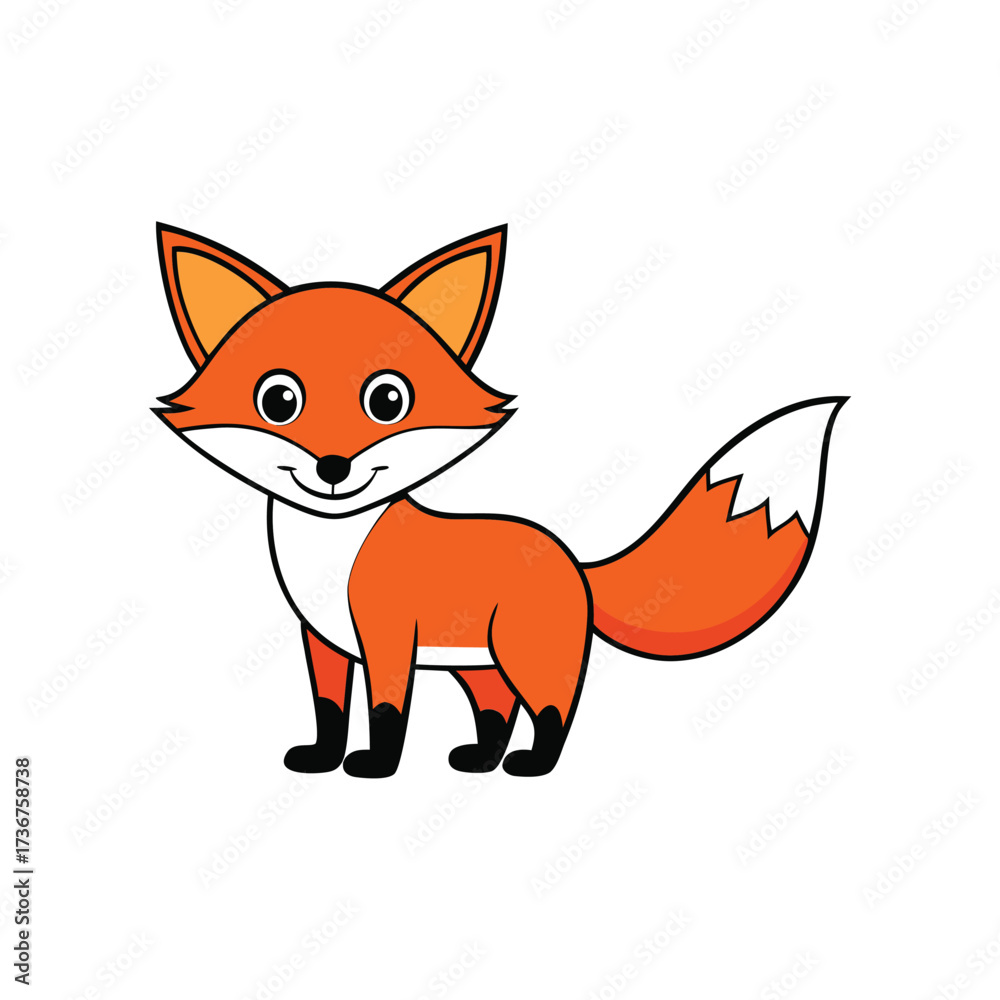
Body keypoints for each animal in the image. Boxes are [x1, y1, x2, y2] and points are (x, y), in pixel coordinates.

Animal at [154, 222, 846, 778]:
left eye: (387, 400)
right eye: (278, 401)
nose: (333, 468)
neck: (331, 546)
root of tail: (572, 559)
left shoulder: (387, 639)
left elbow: (385, 713)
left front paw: (375, 766)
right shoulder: (323, 641)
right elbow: (329, 710)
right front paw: (322, 759)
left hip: (526, 654)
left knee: (552, 710)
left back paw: (533, 765)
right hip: (479, 663)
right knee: (497, 710)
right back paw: (479, 759)